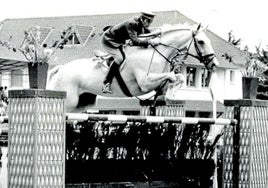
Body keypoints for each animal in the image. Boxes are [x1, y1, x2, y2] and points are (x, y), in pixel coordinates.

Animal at [48, 23, 219, 111]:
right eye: (201, 42)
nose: (214, 64)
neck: (156, 52)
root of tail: (60, 69)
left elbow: (180, 77)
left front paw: (169, 94)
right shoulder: (145, 83)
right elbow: (172, 76)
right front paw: (170, 93)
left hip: (82, 103)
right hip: (68, 101)